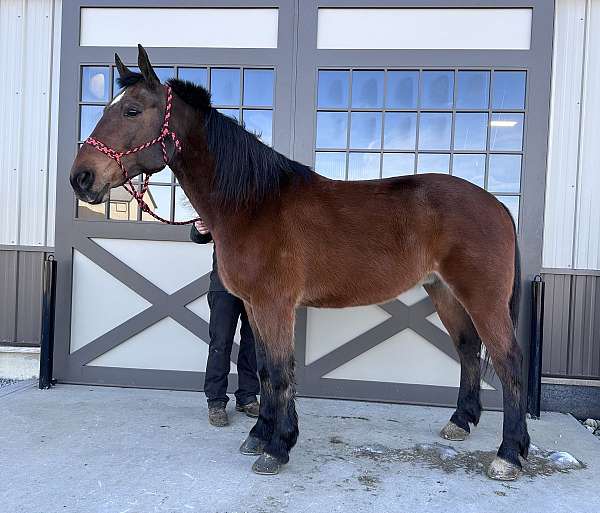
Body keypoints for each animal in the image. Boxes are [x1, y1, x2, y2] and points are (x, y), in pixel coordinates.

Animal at [70, 47, 528, 480]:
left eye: (131, 110)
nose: (82, 178)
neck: (253, 201)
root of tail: (497, 205)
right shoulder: (254, 306)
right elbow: (264, 370)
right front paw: (259, 435)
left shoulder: (274, 305)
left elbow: (279, 371)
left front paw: (278, 447)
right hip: (444, 291)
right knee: (469, 350)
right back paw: (461, 423)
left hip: (482, 298)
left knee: (509, 363)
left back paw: (509, 455)